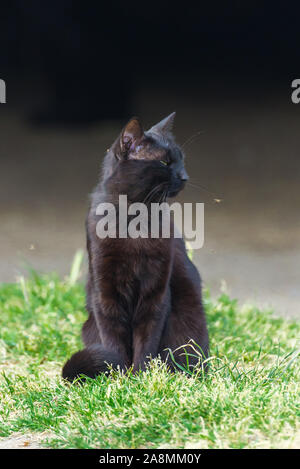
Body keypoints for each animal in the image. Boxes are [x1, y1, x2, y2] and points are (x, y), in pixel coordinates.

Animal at [62, 113, 209, 380]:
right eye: (164, 162)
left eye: (181, 160)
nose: (185, 176)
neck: (134, 219)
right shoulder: (105, 291)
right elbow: (113, 337)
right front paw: (118, 372)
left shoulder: (155, 292)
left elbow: (146, 338)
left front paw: (140, 375)